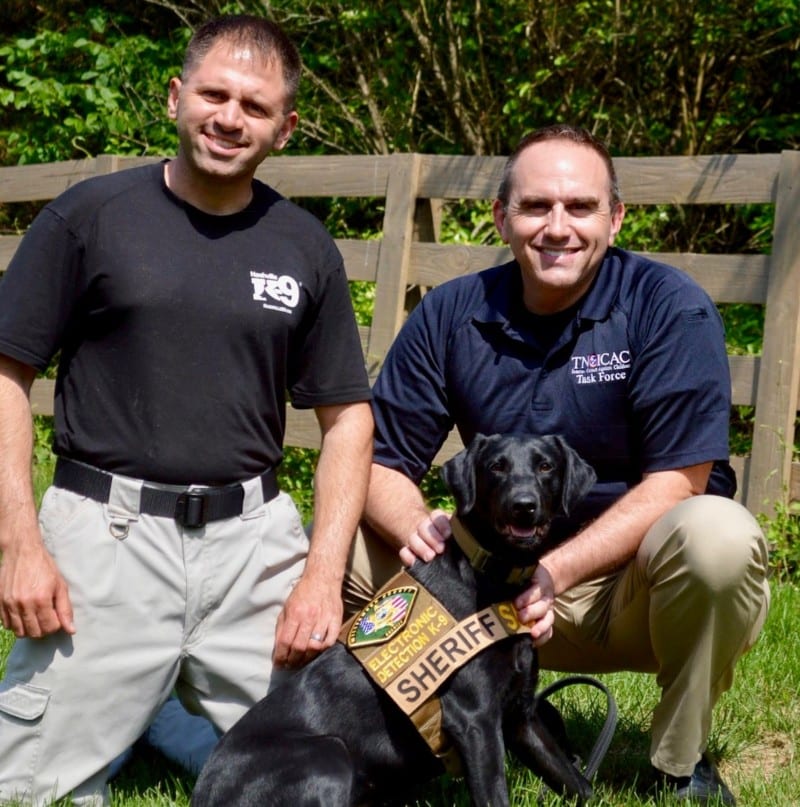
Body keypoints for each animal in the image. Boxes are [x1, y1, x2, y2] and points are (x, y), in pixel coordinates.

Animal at [192, 436, 592, 807]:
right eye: (496, 467)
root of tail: (202, 795)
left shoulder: (521, 717)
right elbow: (494, 795)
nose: (523, 506)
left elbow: (577, 783)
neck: (493, 582)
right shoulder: (475, 718)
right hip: (328, 757)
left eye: (545, 466)